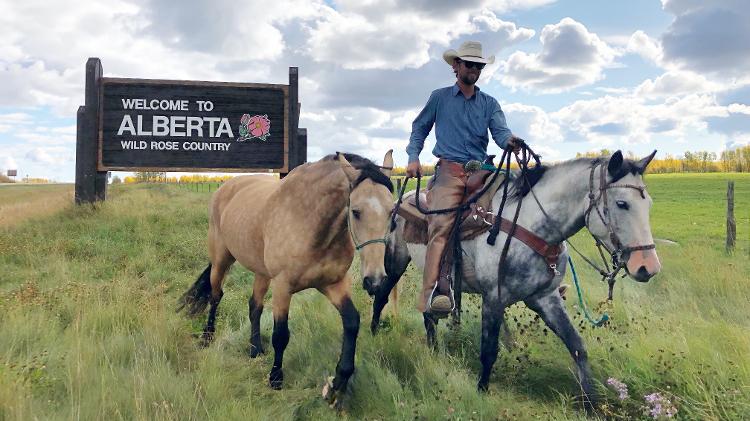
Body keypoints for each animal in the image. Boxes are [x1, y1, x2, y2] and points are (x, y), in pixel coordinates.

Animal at [178, 151, 396, 406]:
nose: (375, 281)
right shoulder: (283, 287)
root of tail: (225, 188)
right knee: (215, 296)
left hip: (261, 272)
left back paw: (255, 349)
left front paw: (338, 384)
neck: (310, 224)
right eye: (356, 212)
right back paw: (207, 337)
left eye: (392, 212)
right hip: (221, 258)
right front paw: (275, 379)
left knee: (254, 306)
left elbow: (352, 322)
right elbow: (281, 335)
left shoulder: (334, 284)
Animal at [372, 150, 664, 406]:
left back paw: (433, 350)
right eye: (622, 203)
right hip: (397, 261)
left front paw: (591, 403)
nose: (648, 267)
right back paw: (374, 334)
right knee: (383, 295)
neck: (531, 225)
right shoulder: (494, 298)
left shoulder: (545, 298)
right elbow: (489, 350)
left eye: (649, 203)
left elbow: (577, 346)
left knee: (428, 313)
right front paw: (481, 391)